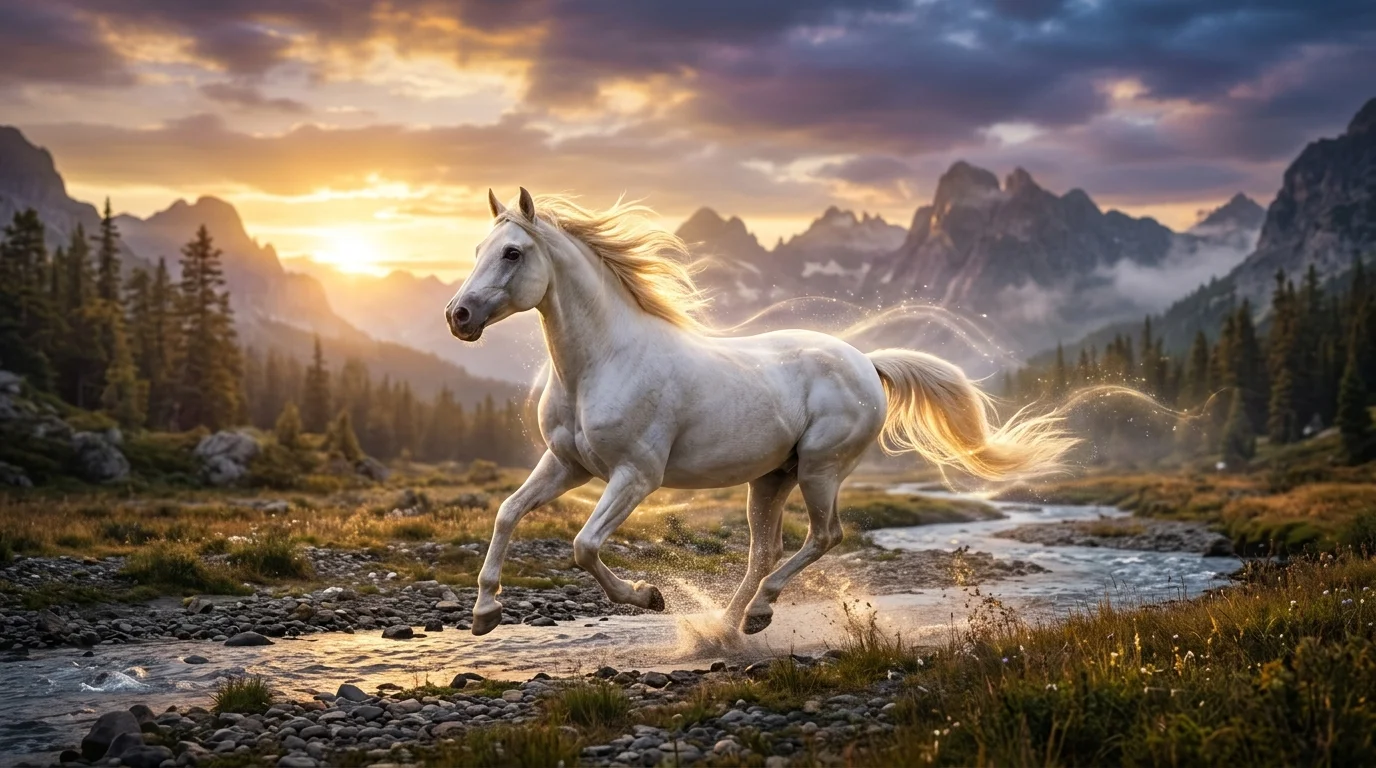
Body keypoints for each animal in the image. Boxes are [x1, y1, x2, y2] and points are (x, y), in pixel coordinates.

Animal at [446, 188, 1075, 636]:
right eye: (476, 250)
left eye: (512, 252)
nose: (459, 316)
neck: (602, 362)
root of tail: (867, 363)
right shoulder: (567, 465)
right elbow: (507, 512)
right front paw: (484, 613)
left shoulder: (636, 476)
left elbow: (584, 546)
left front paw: (648, 596)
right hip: (772, 477)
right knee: (764, 551)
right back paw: (727, 626)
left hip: (821, 469)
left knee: (824, 536)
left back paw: (758, 615)